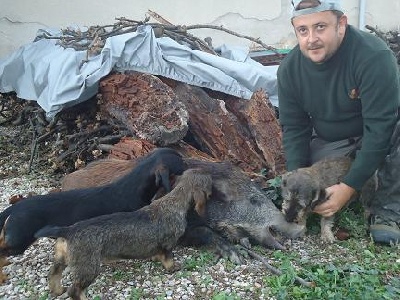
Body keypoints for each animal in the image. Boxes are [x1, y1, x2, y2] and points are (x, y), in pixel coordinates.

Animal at [0, 146, 184, 282]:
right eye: (181, 162)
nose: (189, 164)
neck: (133, 185)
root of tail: (15, 207)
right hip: (20, 240)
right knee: (3, 249)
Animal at [35, 169, 212, 300]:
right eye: (209, 182)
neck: (174, 202)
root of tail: (67, 230)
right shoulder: (168, 244)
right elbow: (168, 258)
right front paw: (172, 268)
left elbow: (158, 253)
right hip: (88, 268)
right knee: (75, 291)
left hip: (62, 258)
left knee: (53, 274)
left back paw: (57, 290)